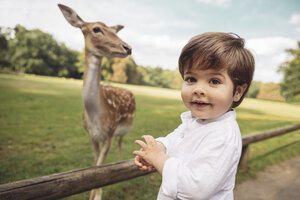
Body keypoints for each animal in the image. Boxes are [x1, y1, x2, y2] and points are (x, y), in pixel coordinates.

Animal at [58, 3, 135, 200]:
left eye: (114, 31)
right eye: (96, 29)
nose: (127, 47)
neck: (96, 117)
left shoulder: (109, 133)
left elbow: (101, 167)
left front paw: (98, 194)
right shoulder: (91, 135)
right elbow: (94, 167)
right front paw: (93, 194)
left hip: (123, 129)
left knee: (121, 142)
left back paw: (121, 163)